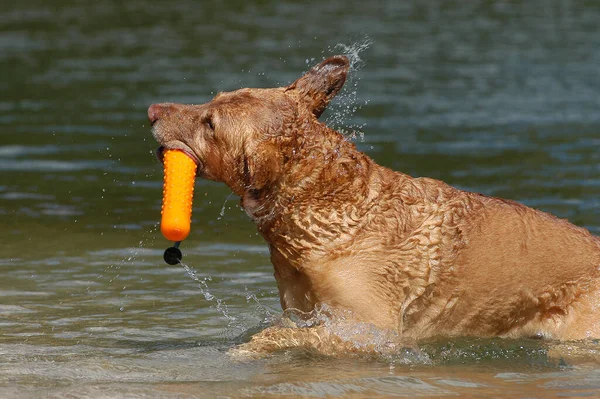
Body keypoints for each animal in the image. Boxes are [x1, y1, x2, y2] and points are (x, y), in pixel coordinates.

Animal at [149, 55, 600, 354]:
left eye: (211, 124)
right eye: (211, 100)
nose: (152, 109)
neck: (326, 207)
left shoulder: (369, 328)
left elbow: (276, 336)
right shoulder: (302, 309)